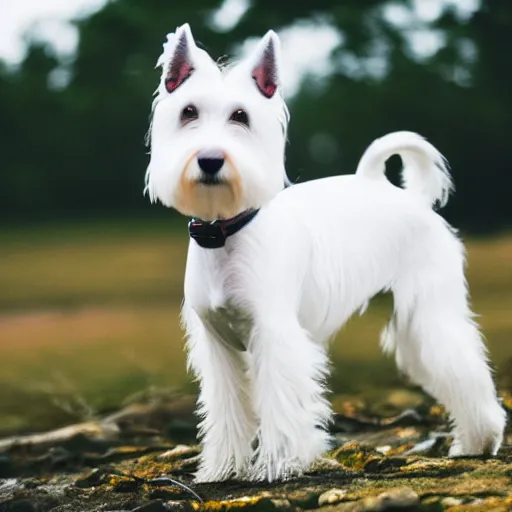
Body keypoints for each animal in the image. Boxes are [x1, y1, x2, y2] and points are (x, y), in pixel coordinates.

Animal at [143, 23, 504, 480]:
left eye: (241, 116)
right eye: (188, 112)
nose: (210, 160)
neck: (226, 232)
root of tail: (410, 197)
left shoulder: (275, 336)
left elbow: (281, 404)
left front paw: (280, 463)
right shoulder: (219, 348)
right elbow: (228, 412)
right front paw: (223, 468)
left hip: (430, 317)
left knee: (468, 371)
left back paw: (480, 441)